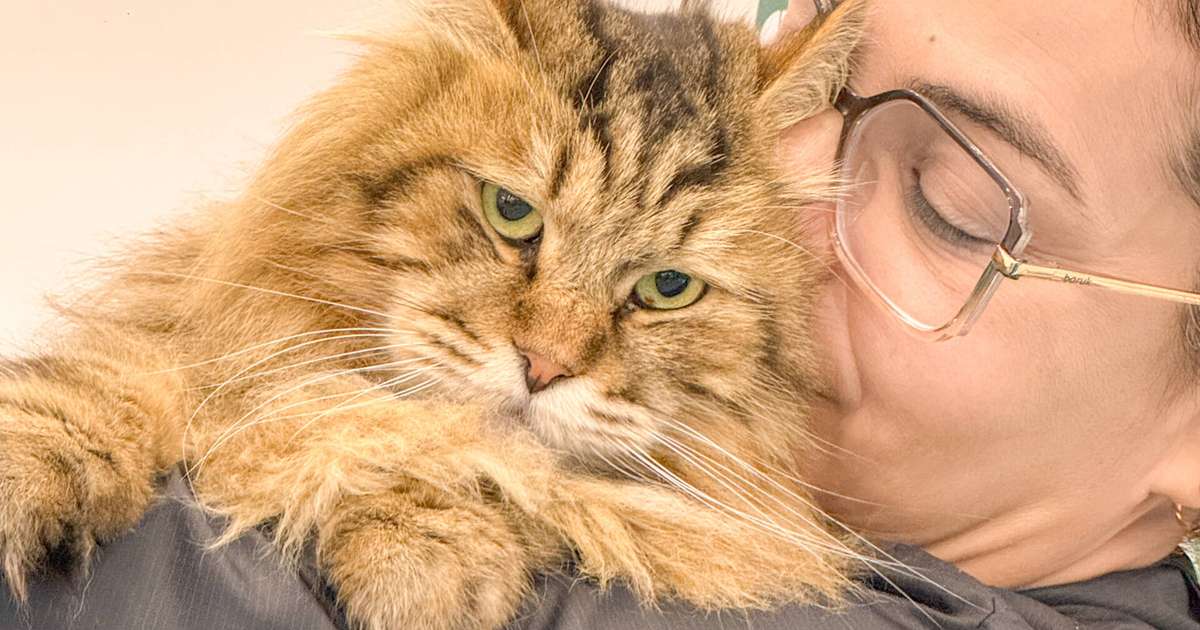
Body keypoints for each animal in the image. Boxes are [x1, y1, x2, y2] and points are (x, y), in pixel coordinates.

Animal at [0, 0, 865, 628]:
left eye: (668, 288)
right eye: (511, 211)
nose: (544, 367)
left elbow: (490, 466)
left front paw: (426, 555)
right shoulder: (205, 321)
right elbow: (110, 379)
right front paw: (29, 462)